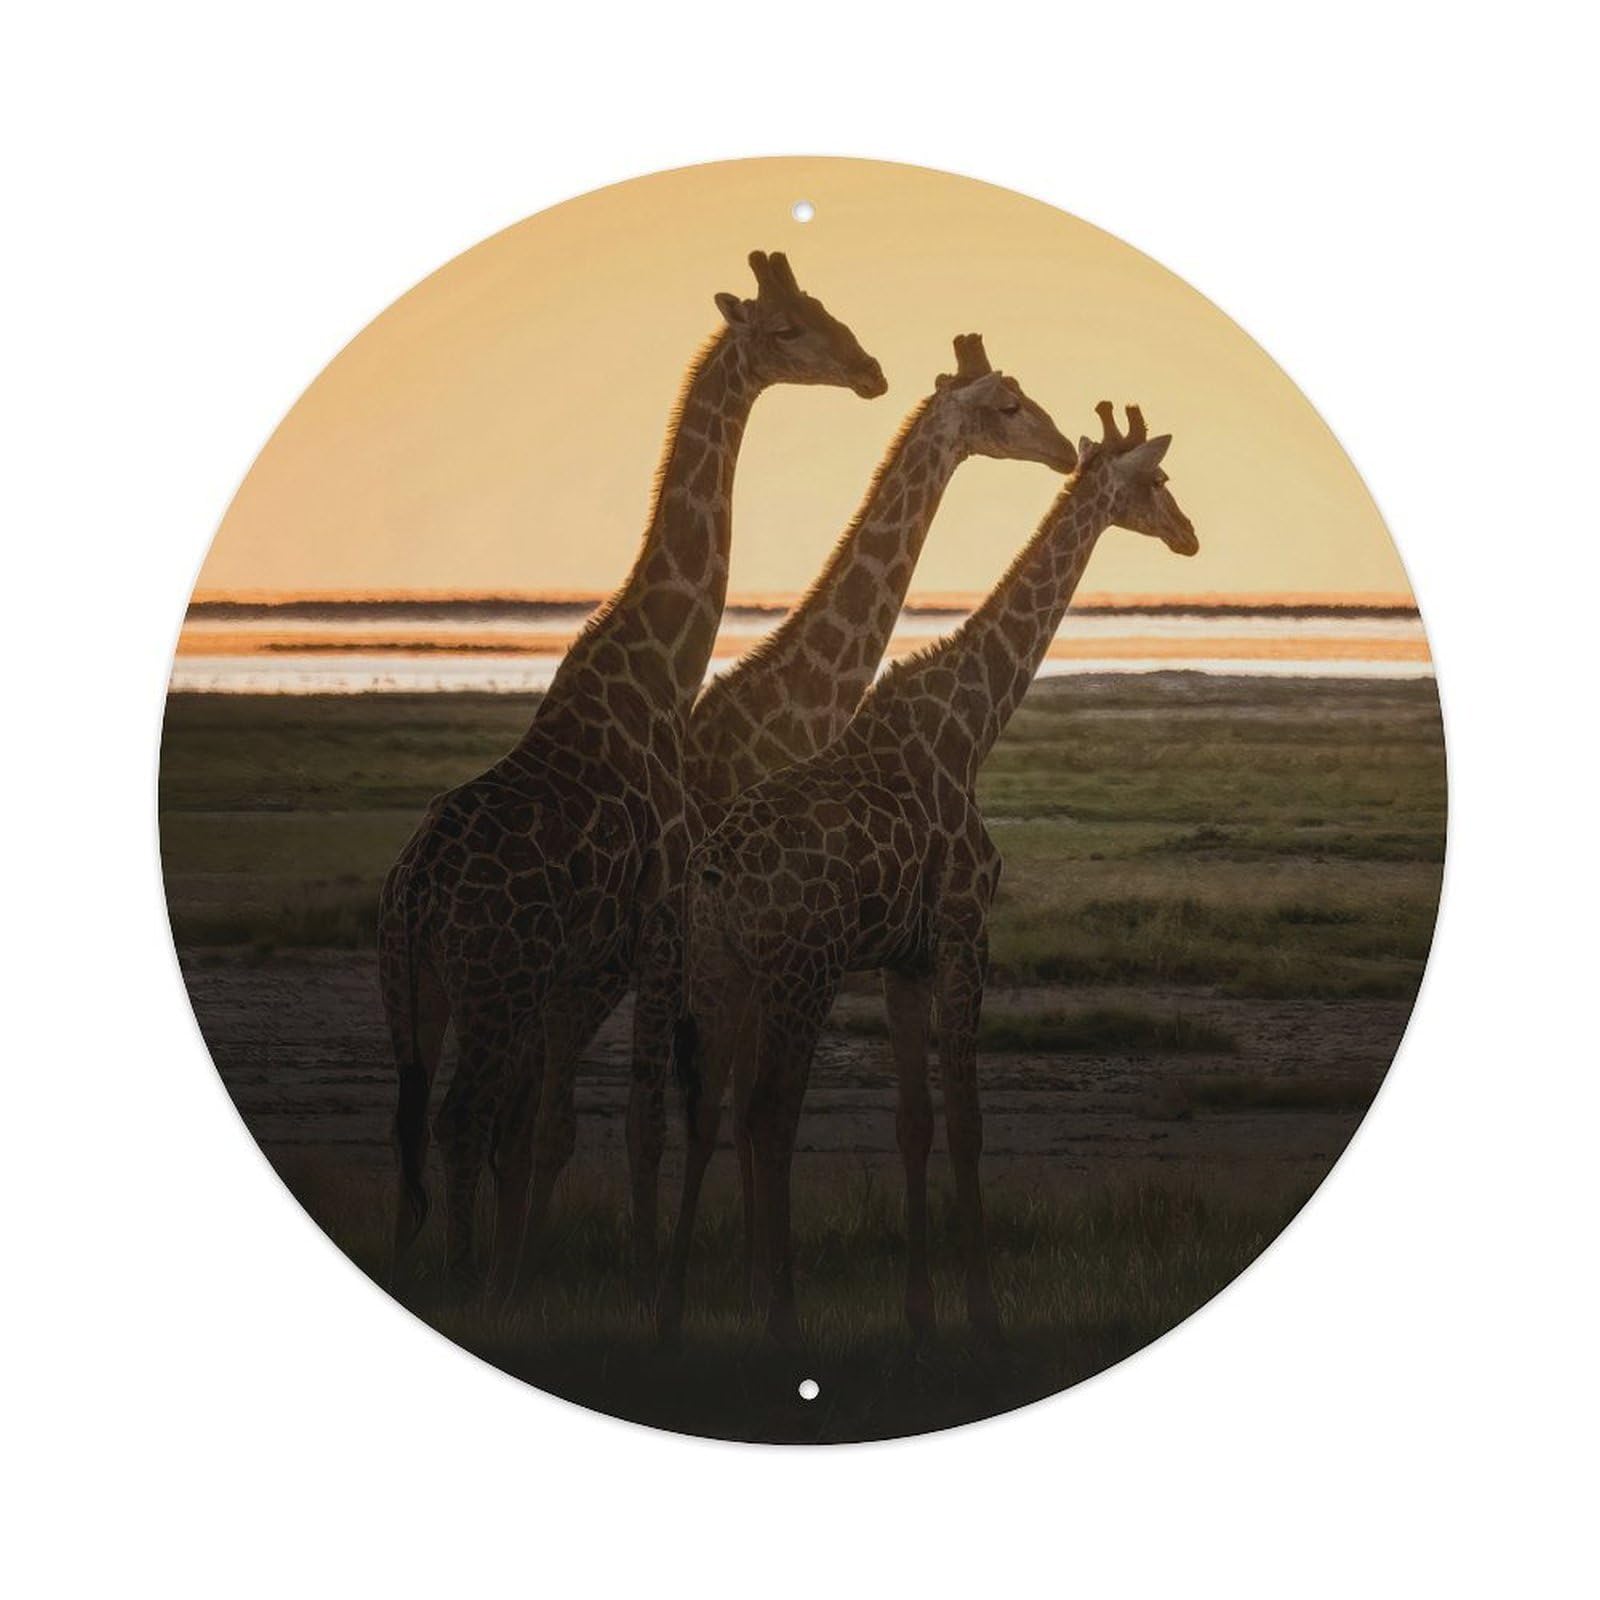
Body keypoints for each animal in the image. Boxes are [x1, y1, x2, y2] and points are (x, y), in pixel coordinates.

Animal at [378, 250, 885, 1300]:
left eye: (823, 308)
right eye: (787, 329)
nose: (870, 371)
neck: (659, 664)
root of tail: (413, 899)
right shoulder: (658, 912)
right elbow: (644, 1121)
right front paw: (654, 1279)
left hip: (420, 993)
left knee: (413, 1131)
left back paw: (432, 1276)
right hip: (497, 983)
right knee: (460, 1119)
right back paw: (465, 1283)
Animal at [659, 401, 1198, 1345]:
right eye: (1158, 481)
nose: (1190, 536)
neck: (972, 723)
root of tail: (715, 874)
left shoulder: (901, 959)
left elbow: (913, 1123)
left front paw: (920, 1311)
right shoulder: (963, 930)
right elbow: (969, 1122)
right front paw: (983, 1310)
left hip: (721, 968)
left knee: (706, 1107)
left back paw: (673, 1314)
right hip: (800, 971)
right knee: (768, 1112)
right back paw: (781, 1317)